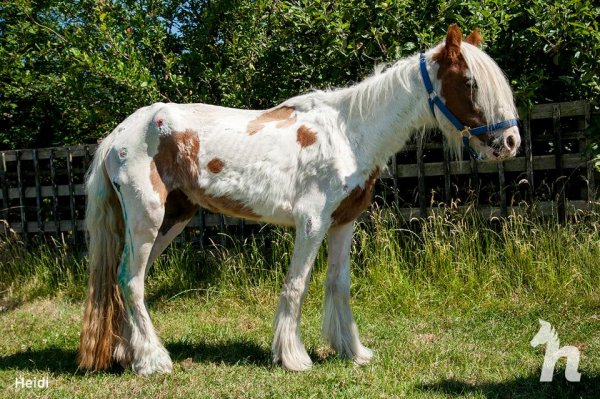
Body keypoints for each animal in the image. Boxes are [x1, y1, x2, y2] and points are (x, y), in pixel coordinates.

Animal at [78, 24, 520, 376]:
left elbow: (339, 284)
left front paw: (353, 351)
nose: (510, 142)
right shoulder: (312, 223)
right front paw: (294, 357)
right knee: (130, 280)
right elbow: (296, 285)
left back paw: (128, 354)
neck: (349, 133)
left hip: (172, 219)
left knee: (123, 280)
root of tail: (119, 134)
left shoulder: (344, 223)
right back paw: (154, 361)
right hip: (147, 219)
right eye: (469, 82)